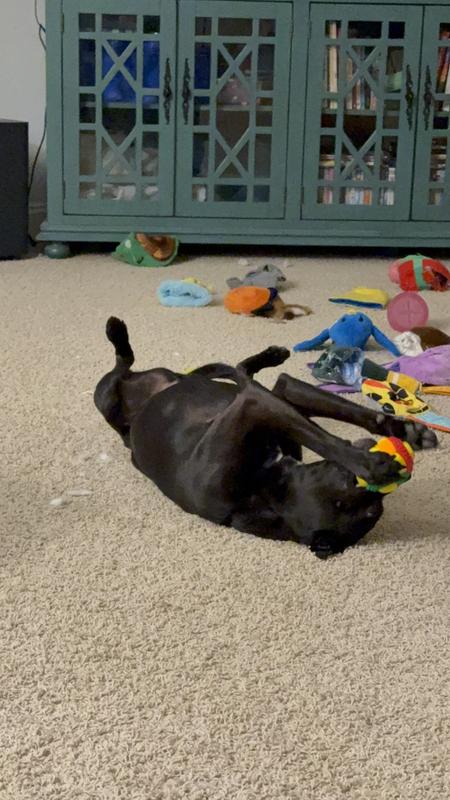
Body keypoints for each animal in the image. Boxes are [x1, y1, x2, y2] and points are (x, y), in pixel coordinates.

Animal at [94, 318, 437, 559]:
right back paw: (117, 332)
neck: (265, 488)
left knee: (233, 372)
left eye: (374, 511)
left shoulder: (267, 404)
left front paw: (403, 431)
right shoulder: (255, 405)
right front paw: (373, 461)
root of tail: (128, 430)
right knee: (125, 365)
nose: (385, 483)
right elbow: (323, 437)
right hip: (107, 395)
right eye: (346, 486)